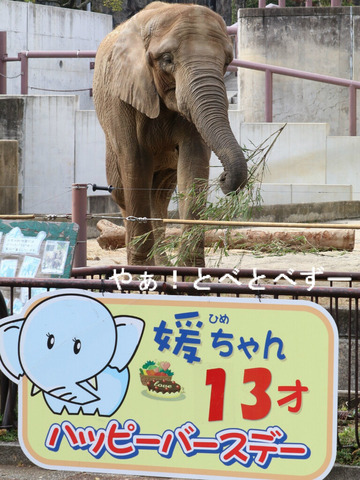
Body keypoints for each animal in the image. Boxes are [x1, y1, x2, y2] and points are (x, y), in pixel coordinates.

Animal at [93, 0, 248, 266]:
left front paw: (189, 271)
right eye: (167, 59)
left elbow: (194, 164)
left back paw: (162, 263)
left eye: (227, 61)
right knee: (122, 191)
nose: (224, 178)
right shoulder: (122, 97)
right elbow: (135, 162)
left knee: (160, 195)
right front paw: (140, 271)